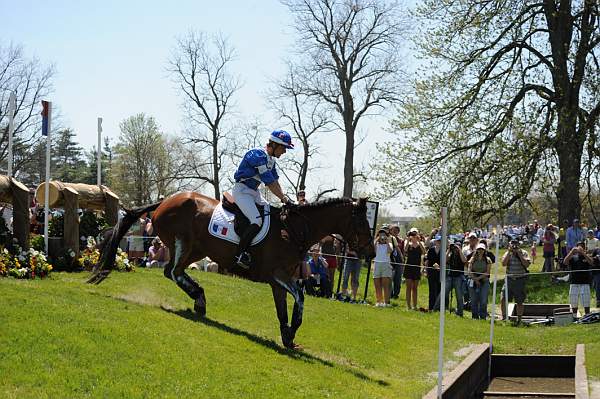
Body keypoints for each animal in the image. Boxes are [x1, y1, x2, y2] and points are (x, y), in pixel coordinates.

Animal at [88, 194, 376, 350]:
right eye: (362, 223)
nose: (371, 254)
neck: (293, 231)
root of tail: (165, 201)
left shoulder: (280, 281)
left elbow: (284, 308)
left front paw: (287, 335)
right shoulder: (278, 276)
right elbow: (301, 297)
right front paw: (292, 330)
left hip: (196, 250)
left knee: (172, 272)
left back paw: (199, 298)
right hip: (183, 243)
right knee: (173, 271)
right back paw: (200, 299)